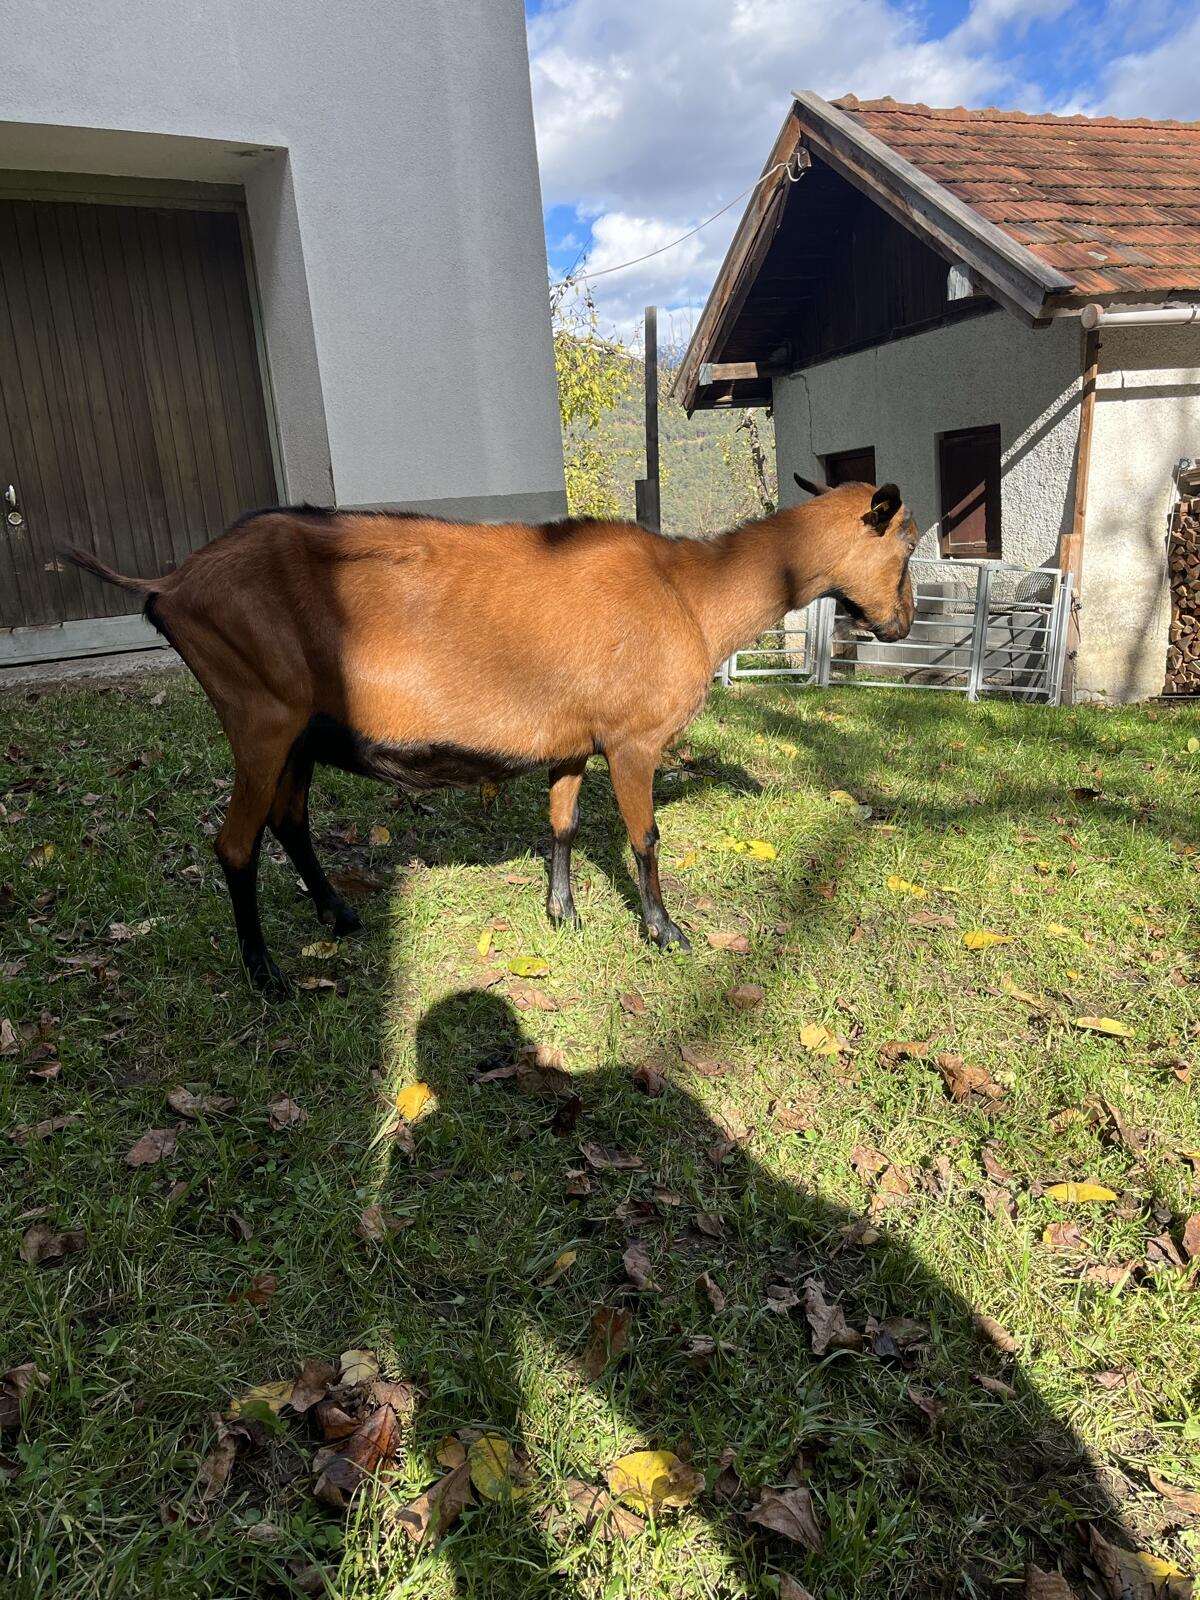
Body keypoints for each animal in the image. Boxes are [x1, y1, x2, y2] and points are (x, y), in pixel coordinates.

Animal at [64, 480, 918, 991]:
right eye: (906, 544)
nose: (903, 623)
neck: (690, 594)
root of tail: (170, 583)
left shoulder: (573, 741)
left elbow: (563, 824)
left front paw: (564, 915)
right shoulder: (633, 739)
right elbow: (645, 840)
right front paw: (666, 931)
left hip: (298, 731)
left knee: (288, 819)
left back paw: (339, 915)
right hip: (258, 714)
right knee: (235, 844)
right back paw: (266, 972)